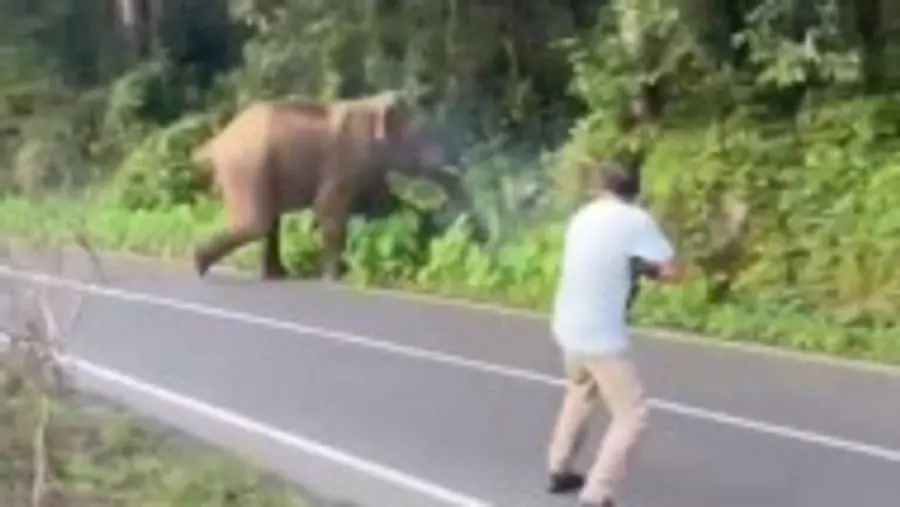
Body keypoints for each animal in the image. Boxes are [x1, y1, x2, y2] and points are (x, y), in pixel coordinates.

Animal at [189, 91, 483, 281]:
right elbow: (328, 207)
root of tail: (217, 140)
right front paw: (336, 277)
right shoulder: (345, 160)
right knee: (257, 224)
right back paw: (198, 263)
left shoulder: (370, 168)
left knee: (269, 222)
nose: (464, 224)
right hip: (247, 167)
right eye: (422, 135)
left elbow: (383, 208)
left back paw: (277, 275)